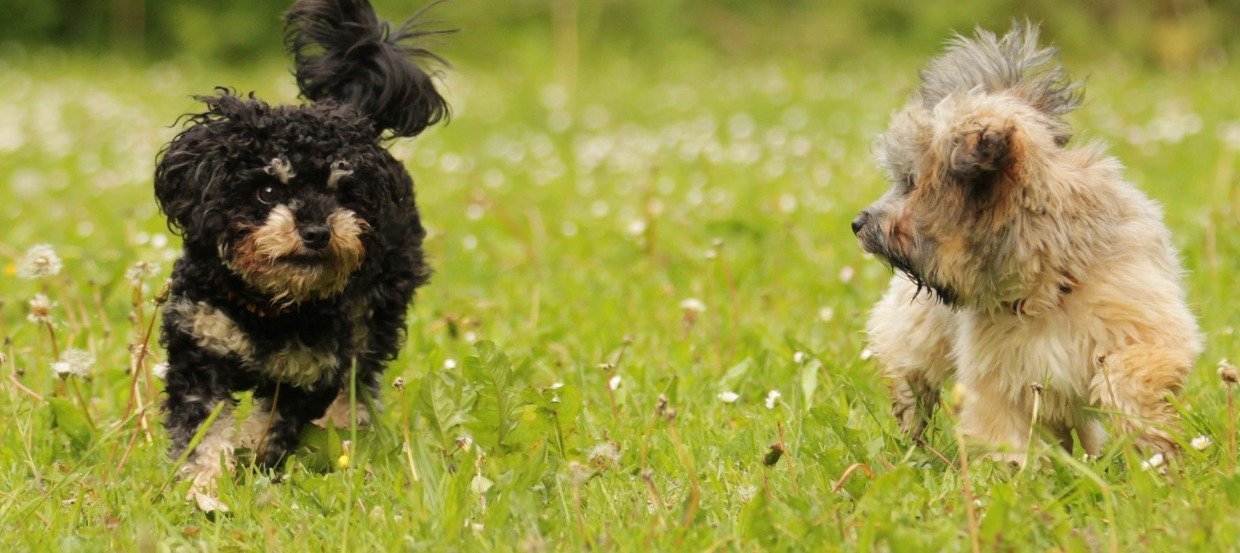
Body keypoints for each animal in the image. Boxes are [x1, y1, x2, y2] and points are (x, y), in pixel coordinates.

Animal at [152, 0, 448, 505]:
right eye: (268, 189)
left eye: (344, 192)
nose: (316, 231)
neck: (268, 306)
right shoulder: (200, 348)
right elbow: (203, 431)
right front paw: (203, 485)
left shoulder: (309, 370)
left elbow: (271, 427)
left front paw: (249, 461)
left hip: (375, 312)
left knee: (361, 376)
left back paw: (347, 429)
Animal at [853, 22, 1200, 461]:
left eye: (911, 183)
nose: (858, 223)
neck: (1046, 279)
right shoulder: (1000, 382)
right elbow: (1006, 435)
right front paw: (1018, 474)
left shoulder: (1143, 327)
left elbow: (1130, 375)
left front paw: (1152, 449)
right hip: (917, 336)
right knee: (912, 379)